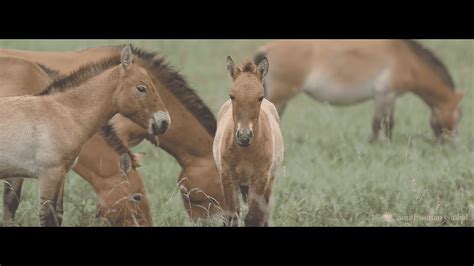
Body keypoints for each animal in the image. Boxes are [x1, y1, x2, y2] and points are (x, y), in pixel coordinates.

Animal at [213, 56, 284, 227]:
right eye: (232, 95)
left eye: (260, 97)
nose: (244, 136)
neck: (245, 152)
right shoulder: (227, 176)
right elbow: (231, 216)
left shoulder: (260, 178)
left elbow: (253, 218)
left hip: (268, 183)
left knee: (264, 215)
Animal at [254, 39, 464, 141]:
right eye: (460, 116)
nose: (450, 143)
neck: (406, 59)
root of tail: (268, 47)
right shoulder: (383, 95)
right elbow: (378, 124)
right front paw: (375, 144)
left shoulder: (391, 98)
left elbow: (389, 123)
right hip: (281, 95)